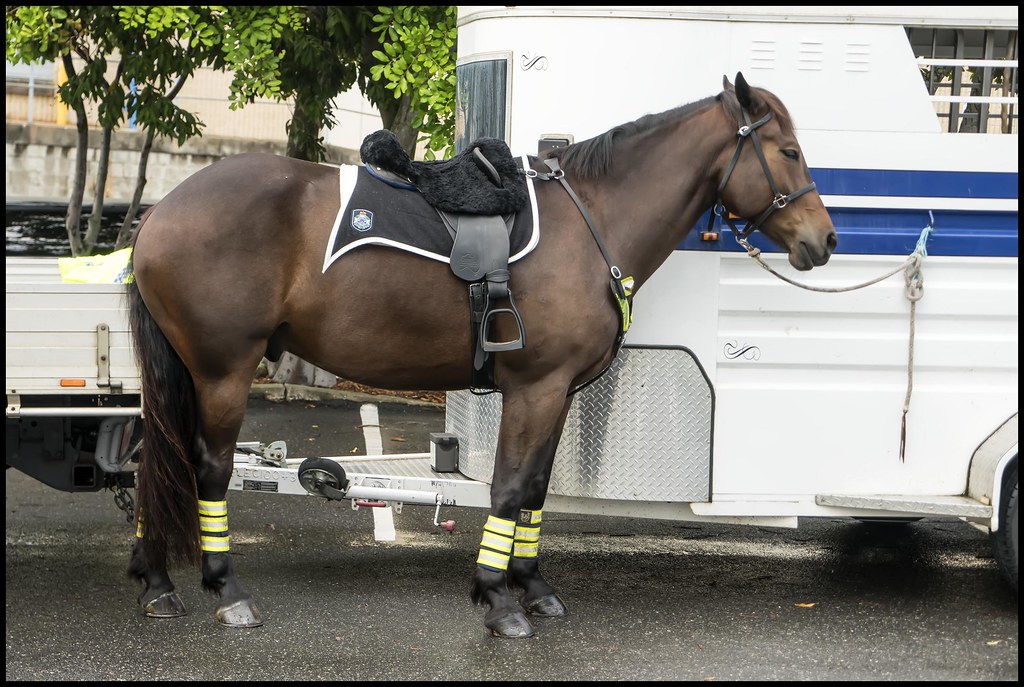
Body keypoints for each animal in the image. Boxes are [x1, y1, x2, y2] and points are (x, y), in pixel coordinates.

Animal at [126, 72, 837, 639]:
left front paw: (532, 584)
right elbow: (510, 486)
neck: (591, 218)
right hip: (223, 372)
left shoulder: (559, 392)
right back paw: (226, 589)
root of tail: (160, 213)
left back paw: (157, 582)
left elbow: (537, 488)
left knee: (154, 459)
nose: (824, 239)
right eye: (790, 151)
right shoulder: (535, 387)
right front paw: (498, 600)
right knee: (206, 467)